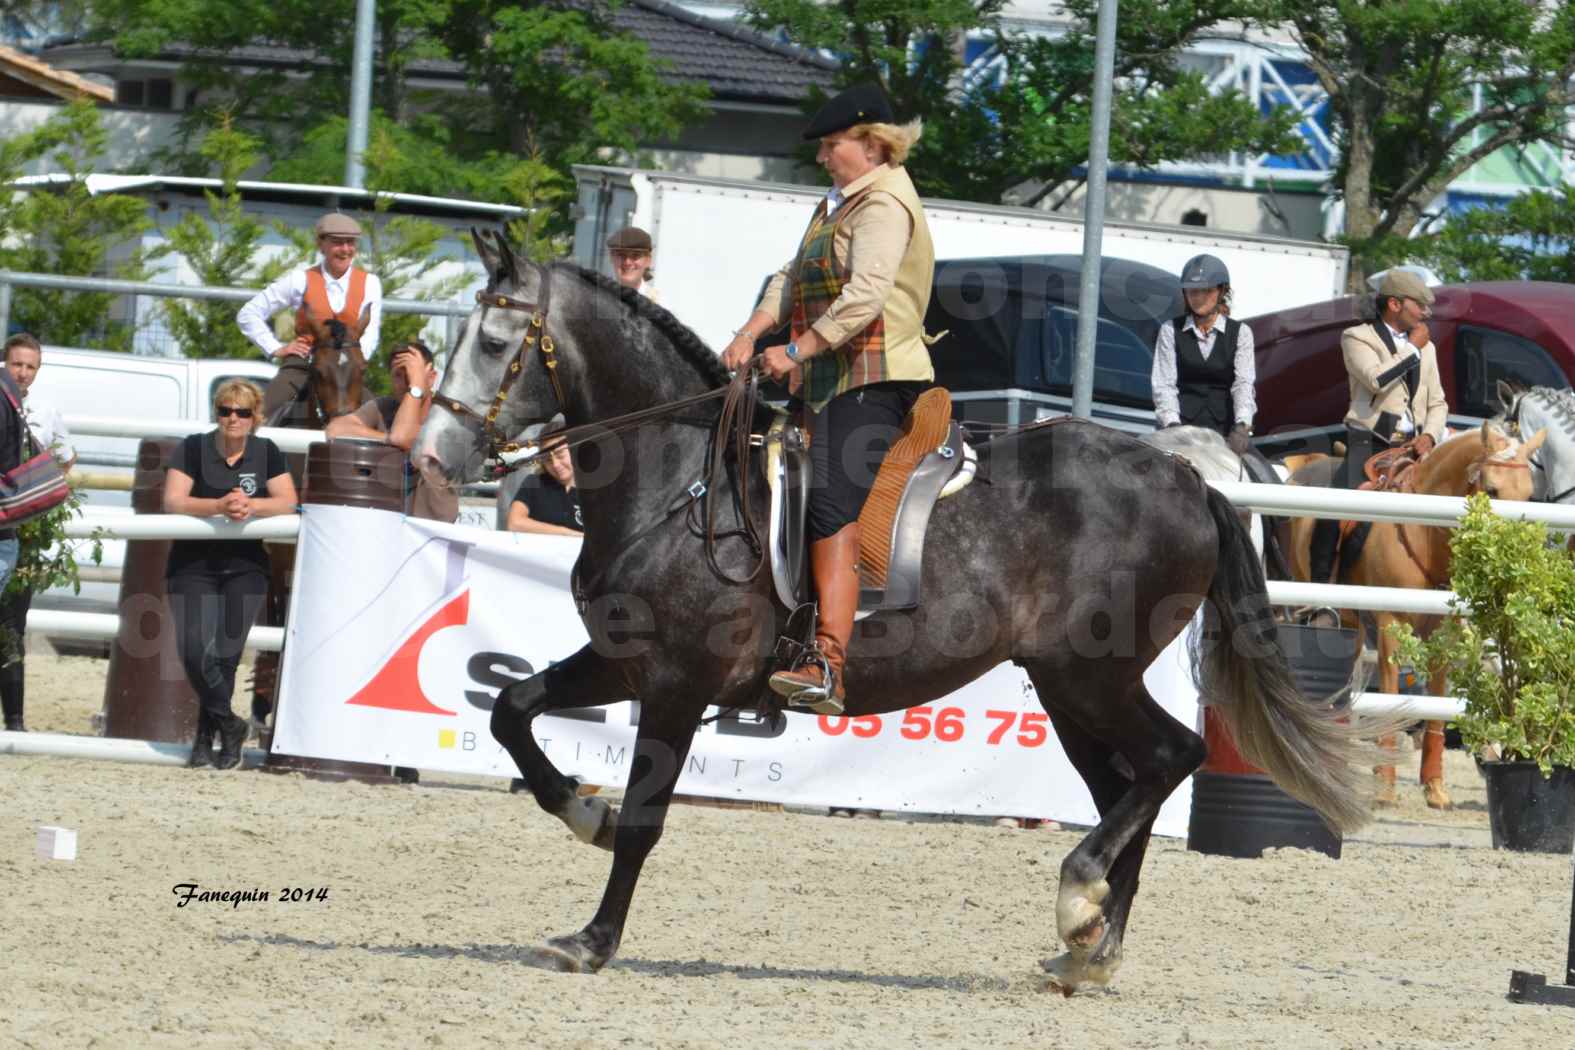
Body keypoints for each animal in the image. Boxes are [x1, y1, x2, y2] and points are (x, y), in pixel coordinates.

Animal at [412, 234, 1373, 1001]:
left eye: (493, 342)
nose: (430, 457)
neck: (681, 482)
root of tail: (1186, 477)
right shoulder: (622, 658)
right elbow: (512, 710)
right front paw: (584, 811)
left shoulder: (680, 684)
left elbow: (646, 818)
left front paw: (593, 938)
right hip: (1072, 689)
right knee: (1127, 787)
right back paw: (1086, 949)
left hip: (1089, 675)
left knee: (1171, 757)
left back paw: (1079, 899)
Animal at [1285, 421, 1543, 812]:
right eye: (1492, 489)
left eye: (1529, 495)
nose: (1512, 554)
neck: (1423, 532)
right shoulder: (1391, 623)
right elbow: (1391, 698)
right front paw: (1386, 789)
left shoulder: (1444, 630)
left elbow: (1435, 703)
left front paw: (1434, 787)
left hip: (1352, 621)